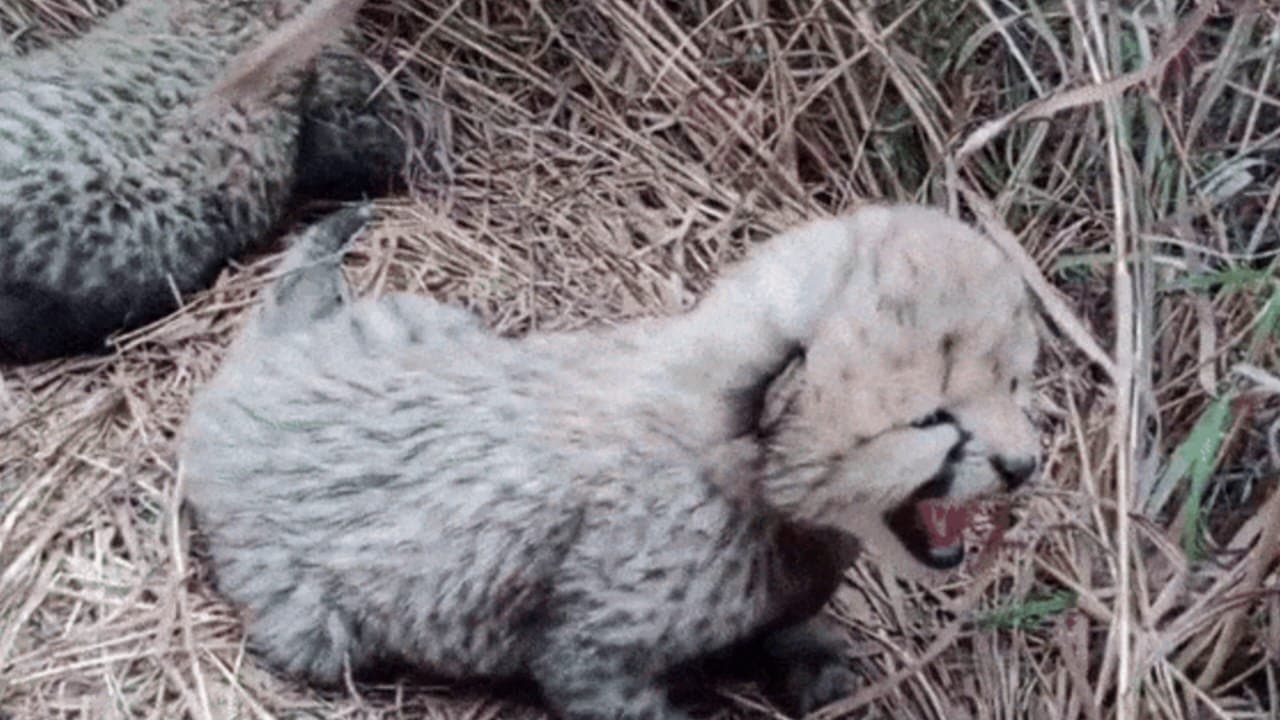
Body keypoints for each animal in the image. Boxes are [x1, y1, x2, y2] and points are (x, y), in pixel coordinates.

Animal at [180, 202, 1042, 719]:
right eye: (930, 420)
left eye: (1010, 382)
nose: (1026, 464)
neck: (741, 477)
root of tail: (256, 371)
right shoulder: (590, 655)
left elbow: (788, 624)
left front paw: (814, 661)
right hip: (312, 629)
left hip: (428, 320)